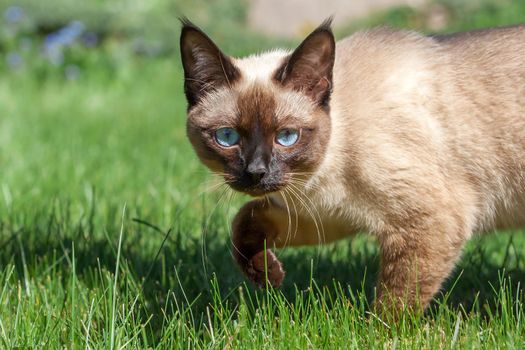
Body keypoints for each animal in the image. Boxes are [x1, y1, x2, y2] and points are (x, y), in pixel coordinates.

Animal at [179, 17, 524, 310]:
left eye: (287, 137)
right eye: (227, 137)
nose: (256, 173)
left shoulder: (429, 222)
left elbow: (394, 308)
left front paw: (379, 334)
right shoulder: (326, 214)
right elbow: (243, 221)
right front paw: (268, 276)